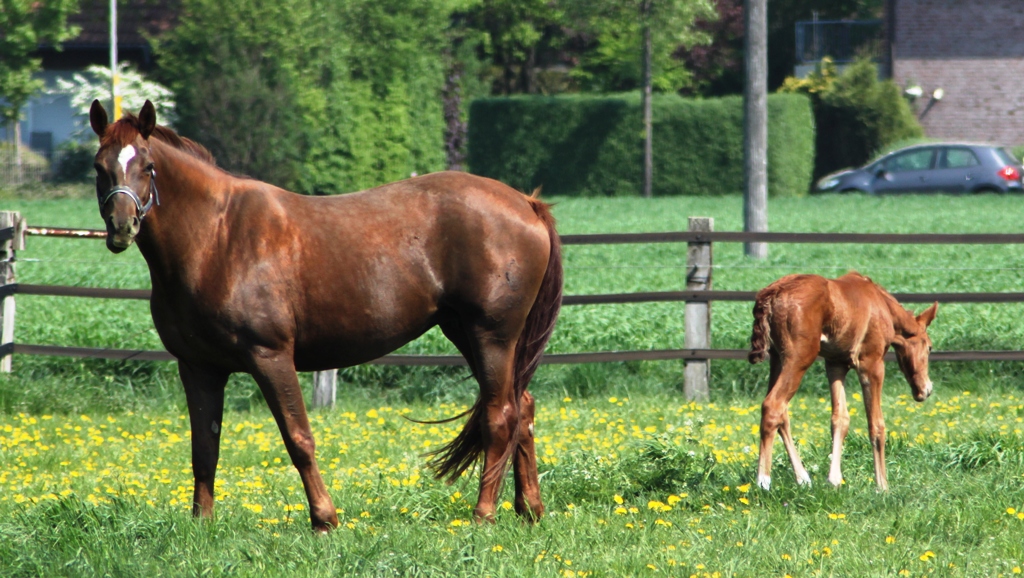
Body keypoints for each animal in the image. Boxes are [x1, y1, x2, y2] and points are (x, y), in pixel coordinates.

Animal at [90, 100, 561, 532]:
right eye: (99, 167)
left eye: (148, 165)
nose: (121, 227)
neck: (216, 238)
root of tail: (526, 203)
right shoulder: (198, 368)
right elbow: (204, 449)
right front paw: (202, 524)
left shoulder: (270, 357)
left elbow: (298, 438)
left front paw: (324, 519)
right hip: (466, 333)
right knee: (523, 408)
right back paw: (530, 509)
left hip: (491, 337)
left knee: (500, 415)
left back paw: (484, 515)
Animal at [745, 272, 937, 489]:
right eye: (929, 347)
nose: (925, 390)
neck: (881, 305)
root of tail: (772, 293)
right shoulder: (871, 364)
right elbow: (876, 424)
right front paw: (882, 487)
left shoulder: (835, 364)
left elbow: (840, 418)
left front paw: (835, 479)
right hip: (798, 357)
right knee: (773, 406)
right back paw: (763, 482)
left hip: (777, 358)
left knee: (782, 413)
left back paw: (803, 478)